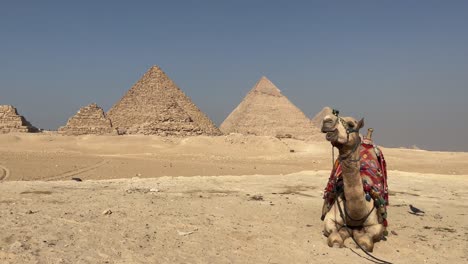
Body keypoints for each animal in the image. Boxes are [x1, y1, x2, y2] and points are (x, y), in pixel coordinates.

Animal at [320, 111, 390, 252]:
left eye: (351, 124)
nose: (327, 120)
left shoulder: (377, 224)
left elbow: (366, 243)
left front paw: (359, 238)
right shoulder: (330, 218)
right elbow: (335, 238)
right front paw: (341, 236)